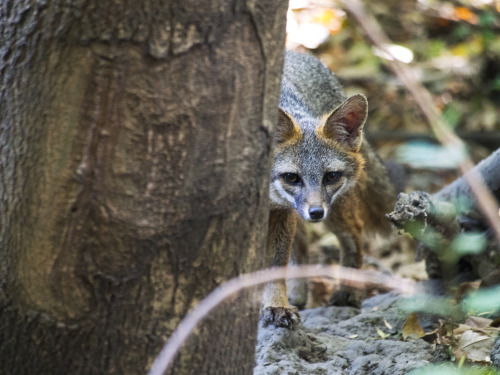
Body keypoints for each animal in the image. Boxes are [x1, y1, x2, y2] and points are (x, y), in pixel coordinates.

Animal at [262, 52, 394, 328]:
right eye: (291, 177)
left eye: (330, 176)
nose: (315, 213)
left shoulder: (280, 212)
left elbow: (275, 266)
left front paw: (276, 306)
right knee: (301, 245)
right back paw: (299, 294)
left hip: (334, 211)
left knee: (353, 233)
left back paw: (348, 292)